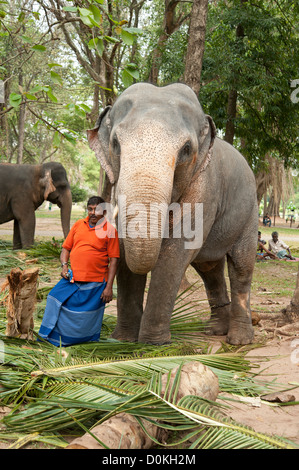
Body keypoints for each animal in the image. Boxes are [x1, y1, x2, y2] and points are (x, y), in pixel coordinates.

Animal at [86, 82, 258, 346]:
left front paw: (153, 343)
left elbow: (176, 251)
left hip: (250, 213)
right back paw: (215, 331)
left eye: (186, 149)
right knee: (210, 269)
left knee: (241, 267)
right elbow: (123, 245)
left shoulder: (204, 187)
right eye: (115, 143)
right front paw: (124, 340)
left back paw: (239, 340)